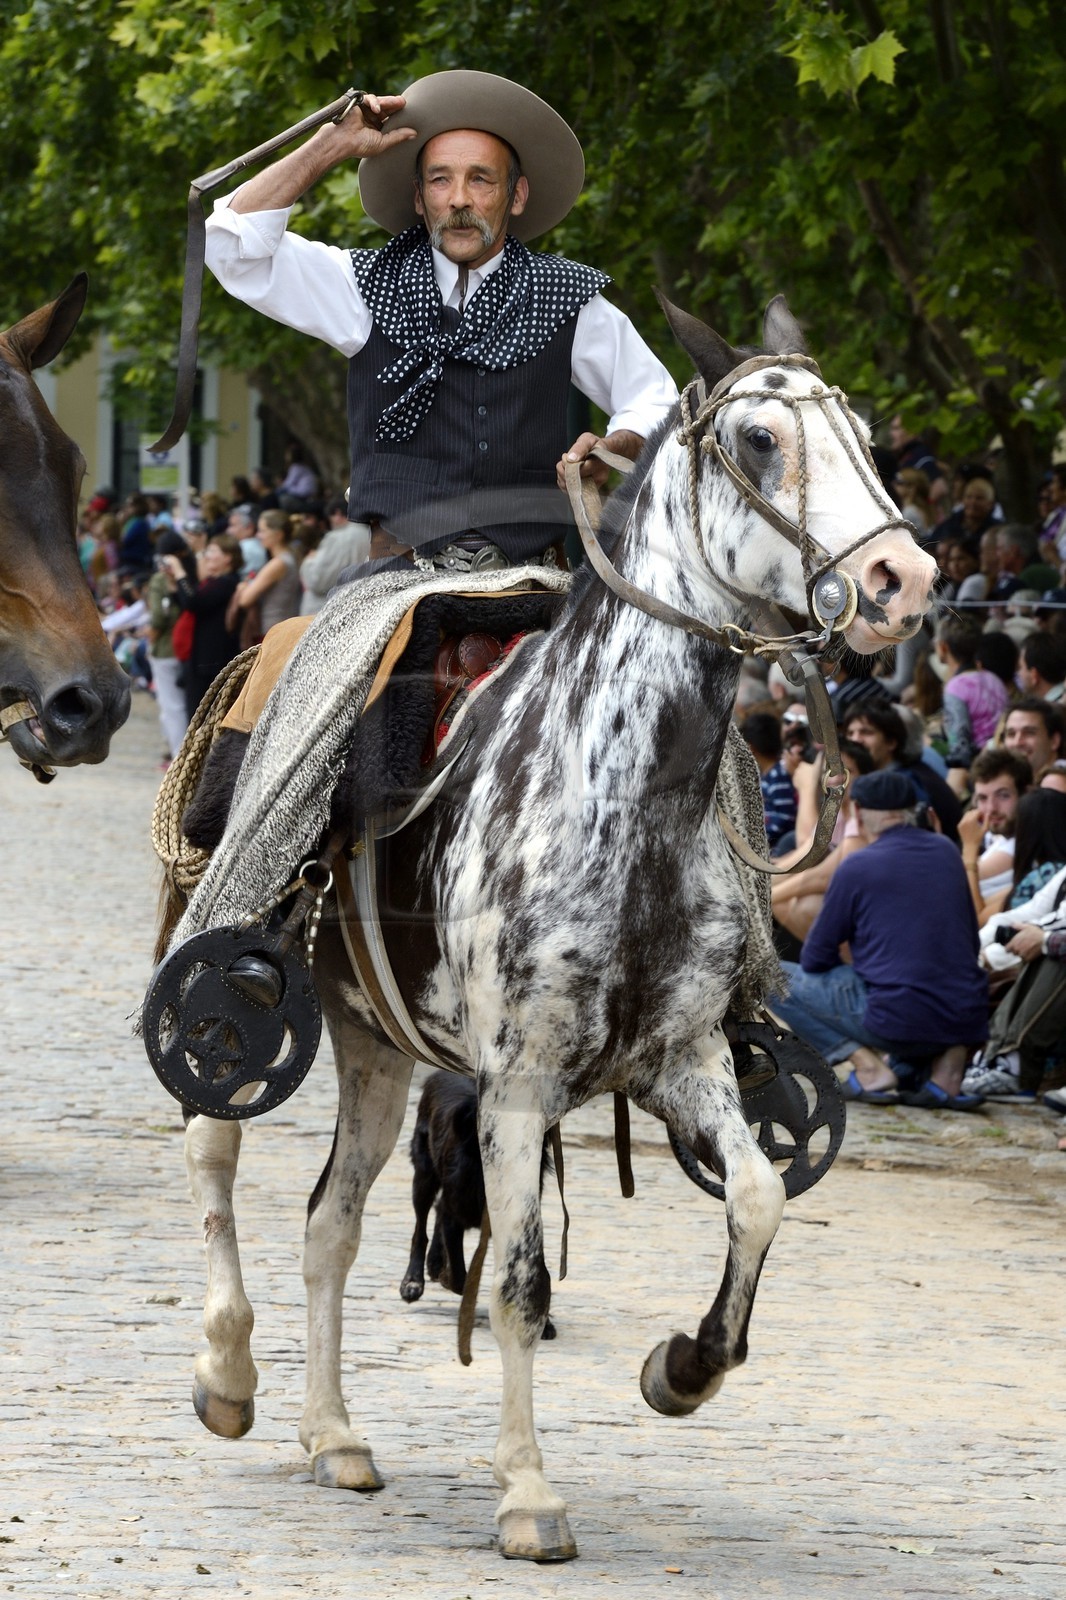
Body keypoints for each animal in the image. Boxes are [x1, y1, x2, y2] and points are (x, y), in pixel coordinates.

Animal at [170, 297, 936, 1562]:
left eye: (868, 436)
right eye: (761, 439)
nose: (901, 576)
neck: (622, 792)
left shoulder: (683, 1060)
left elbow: (758, 1197)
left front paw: (684, 1366)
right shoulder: (518, 1089)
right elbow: (520, 1284)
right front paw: (528, 1492)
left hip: (376, 1047)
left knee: (332, 1221)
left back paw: (334, 1433)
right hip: (230, 977)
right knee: (213, 1147)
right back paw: (227, 1373)